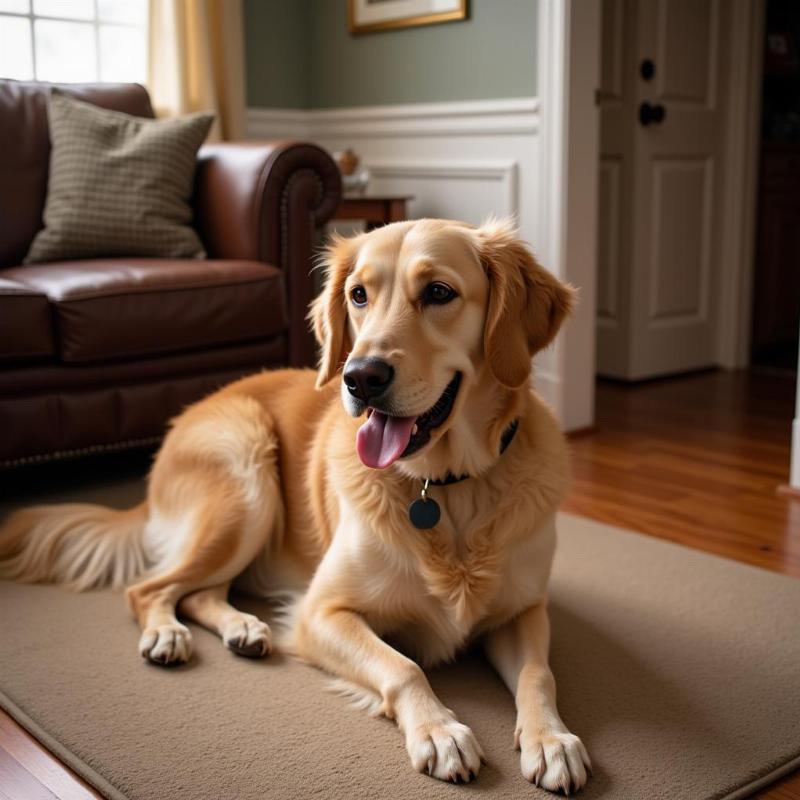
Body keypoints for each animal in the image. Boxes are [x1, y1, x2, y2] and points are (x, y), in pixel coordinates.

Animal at [0, 219, 588, 792]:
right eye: (358, 295)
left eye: (439, 292)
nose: (360, 377)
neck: (445, 487)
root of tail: (187, 415)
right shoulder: (320, 613)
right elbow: (403, 667)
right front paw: (440, 731)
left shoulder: (523, 611)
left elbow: (539, 674)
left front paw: (552, 739)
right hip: (247, 473)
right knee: (148, 589)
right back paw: (167, 633)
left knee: (199, 591)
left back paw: (242, 628)